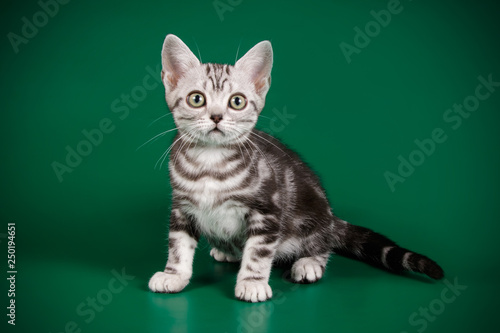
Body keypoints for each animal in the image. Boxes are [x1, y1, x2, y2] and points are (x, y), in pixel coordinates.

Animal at [146, 35, 444, 302]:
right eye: (196, 99)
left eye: (237, 101)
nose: (217, 117)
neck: (211, 162)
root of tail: (331, 219)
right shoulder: (182, 207)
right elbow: (178, 245)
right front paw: (173, 275)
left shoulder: (267, 210)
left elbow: (258, 253)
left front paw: (252, 282)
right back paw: (227, 250)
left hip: (312, 219)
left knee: (323, 245)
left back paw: (308, 263)